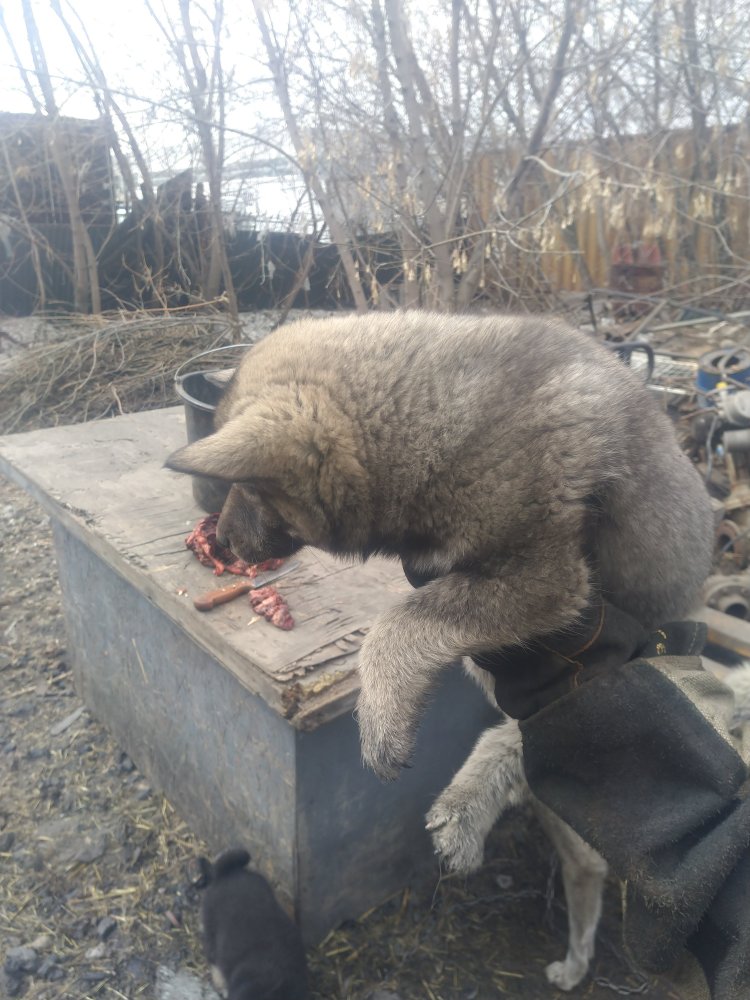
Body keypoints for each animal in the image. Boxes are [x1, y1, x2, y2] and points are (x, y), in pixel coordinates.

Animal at [166, 311, 714, 781]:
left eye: (249, 486)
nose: (220, 539)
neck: (431, 419)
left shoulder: (544, 576)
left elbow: (397, 624)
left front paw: (381, 713)